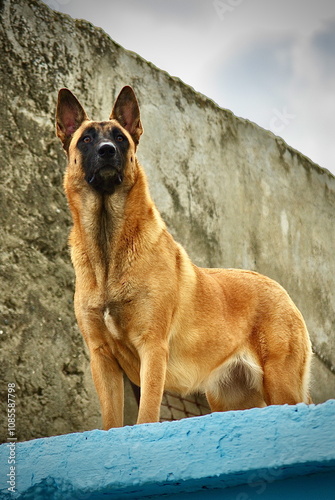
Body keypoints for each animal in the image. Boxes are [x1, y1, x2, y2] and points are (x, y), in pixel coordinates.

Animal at [56, 86, 314, 430]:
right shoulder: (102, 359)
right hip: (233, 400)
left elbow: (146, 415)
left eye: (120, 138)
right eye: (86, 139)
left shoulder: (152, 350)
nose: (108, 151)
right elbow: (111, 422)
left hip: (280, 384)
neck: (110, 246)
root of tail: (280, 288)